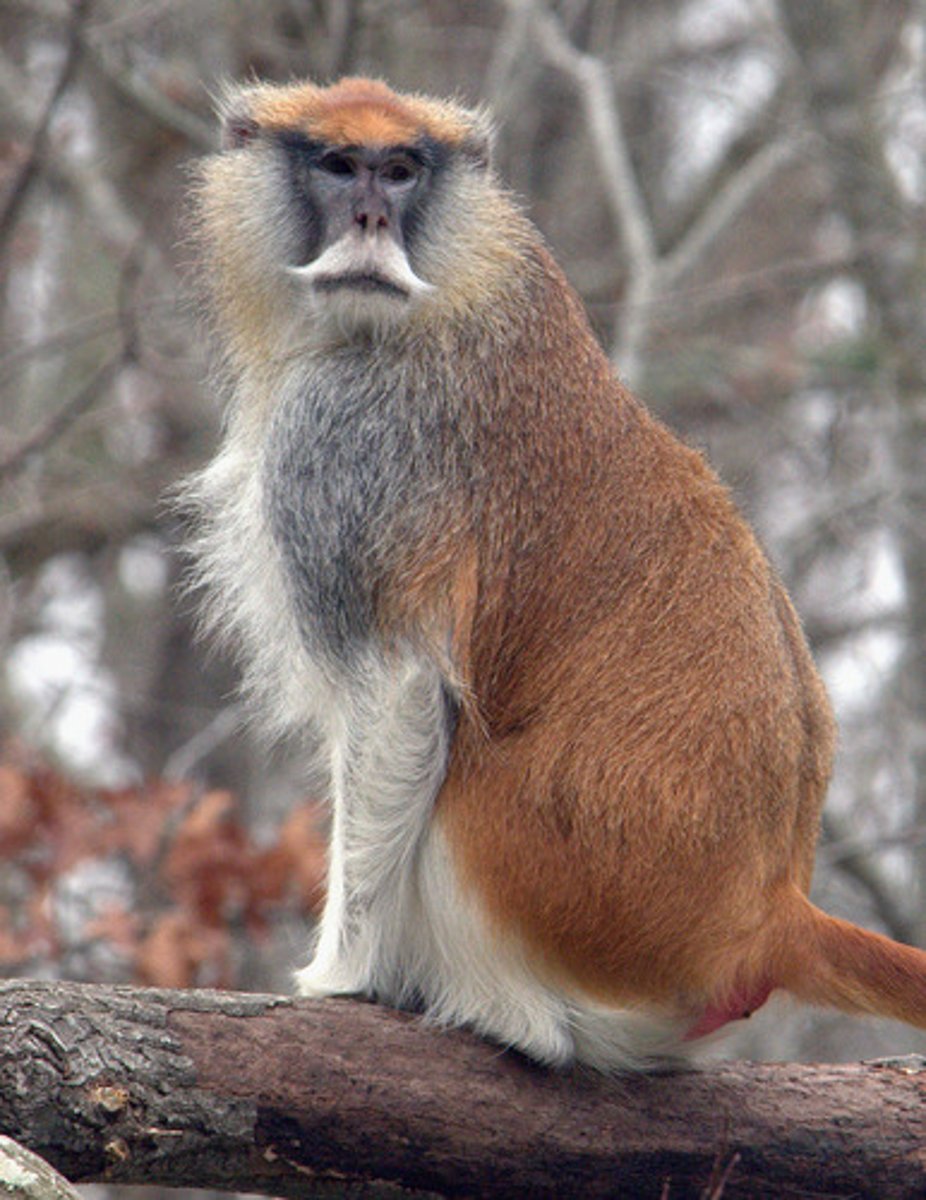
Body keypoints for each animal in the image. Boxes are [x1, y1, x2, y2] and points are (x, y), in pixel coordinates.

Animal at [181, 75, 926, 1071]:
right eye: (339, 165)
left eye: (401, 169)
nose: (373, 217)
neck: (466, 277)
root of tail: (769, 919)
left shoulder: (344, 438)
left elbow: (398, 692)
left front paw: (344, 979)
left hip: (549, 888)